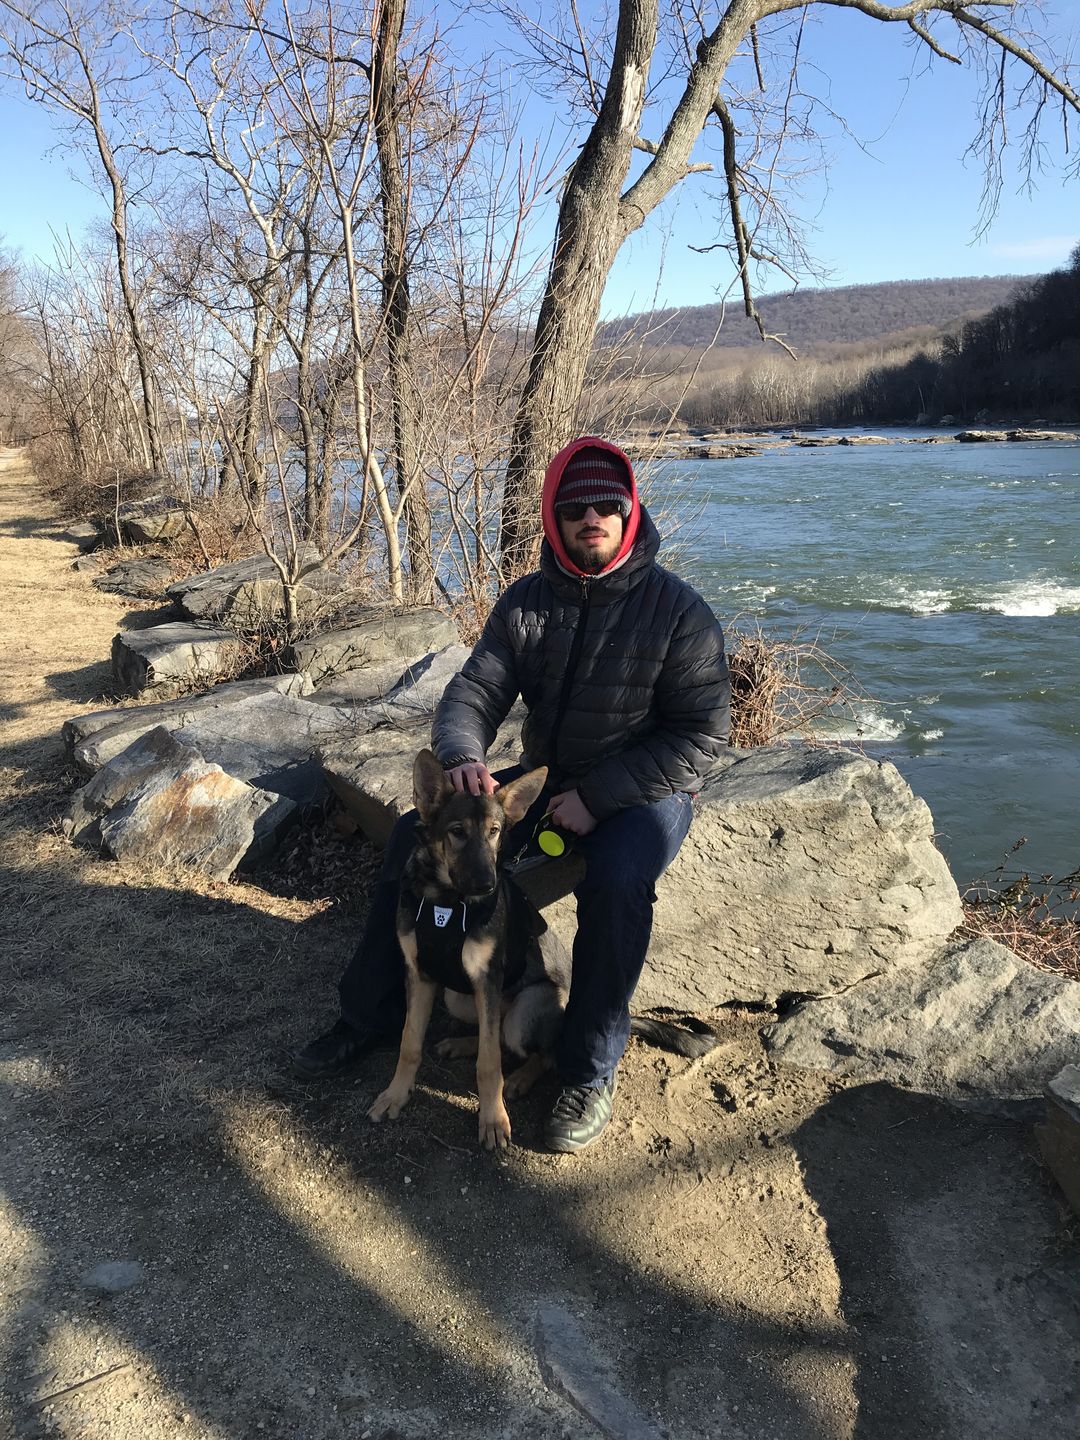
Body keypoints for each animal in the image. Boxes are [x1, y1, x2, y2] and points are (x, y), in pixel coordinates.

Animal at [368, 749, 716, 1150]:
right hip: (460, 997)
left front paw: (492, 1120)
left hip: (523, 1011)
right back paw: (464, 1044)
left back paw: (519, 1077)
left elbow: (488, 1066)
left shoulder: (486, 978)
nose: (487, 885)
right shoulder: (421, 974)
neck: (446, 901)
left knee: (537, 1051)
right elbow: (410, 1044)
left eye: (495, 832)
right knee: (496, 1037)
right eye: (457, 832)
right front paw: (395, 1095)